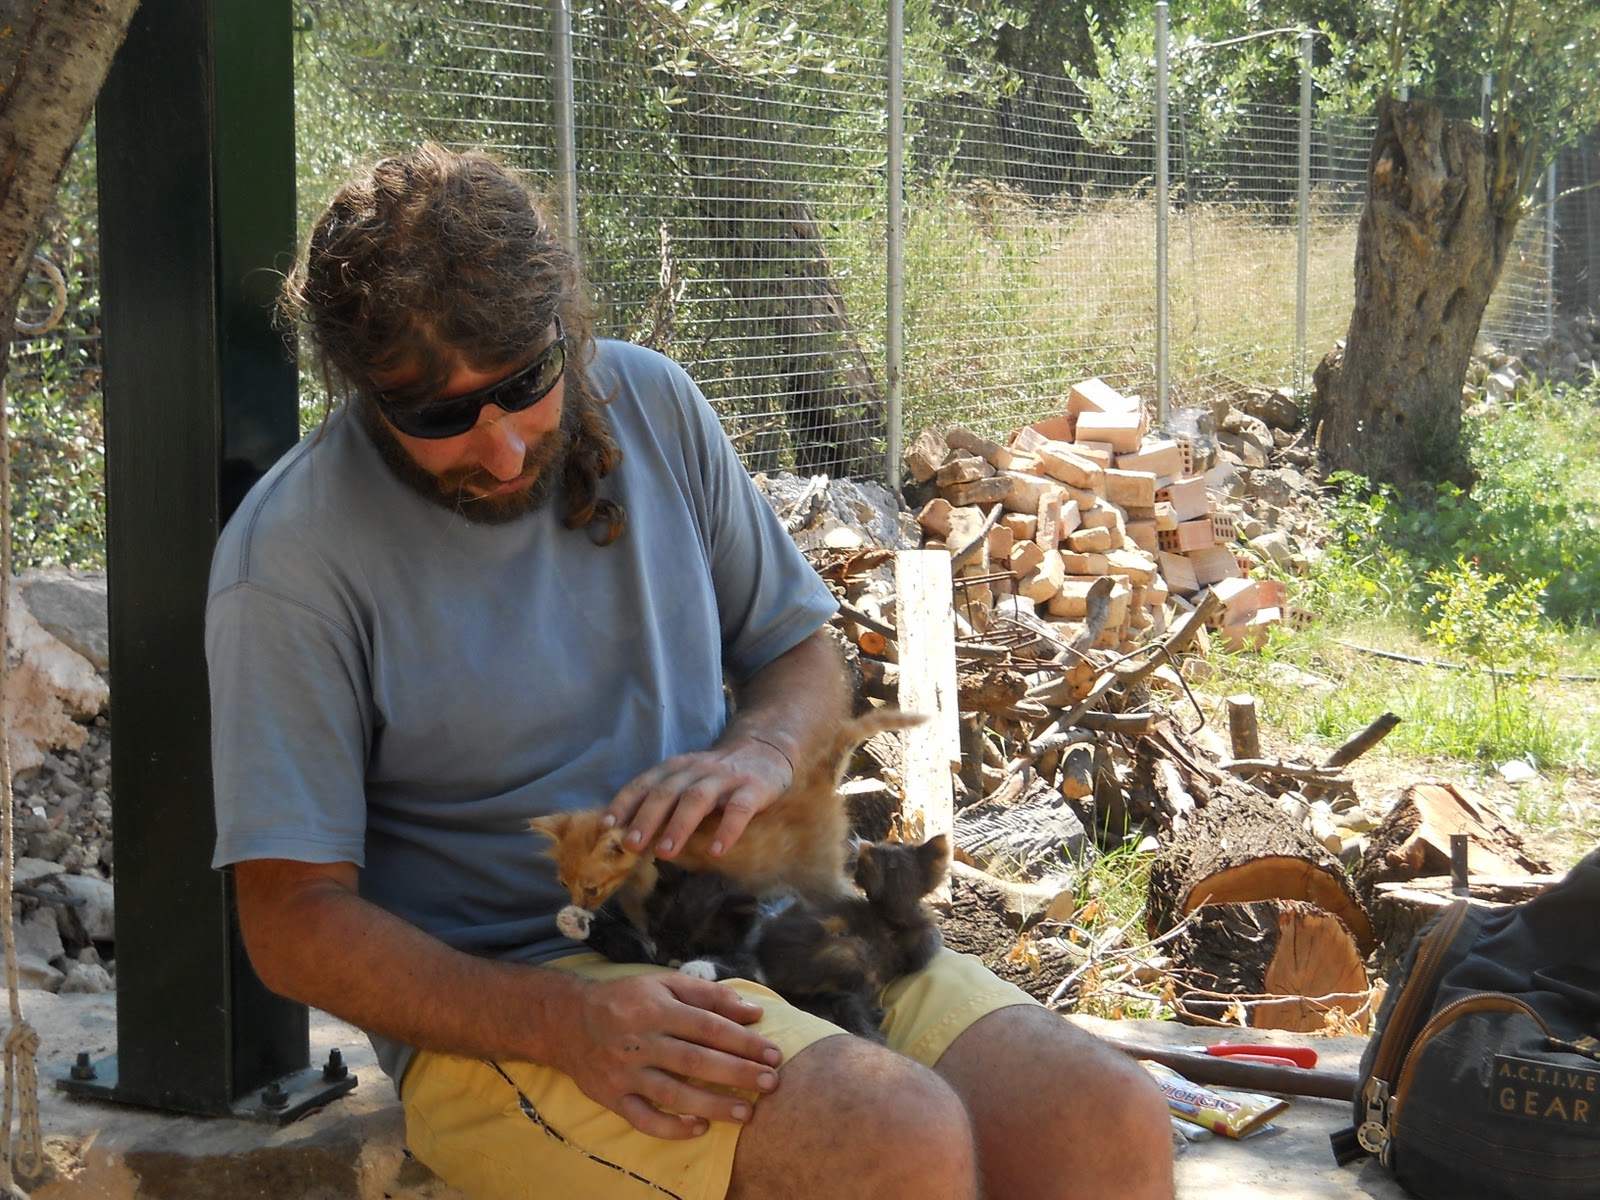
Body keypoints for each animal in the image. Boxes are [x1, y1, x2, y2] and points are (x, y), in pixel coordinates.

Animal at [528, 704, 921, 908]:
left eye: (591, 889)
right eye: (564, 885)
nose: (580, 908)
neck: (647, 839)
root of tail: (813, 785)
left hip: (818, 875)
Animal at [556, 838, 947, 1043]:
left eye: (691, 945)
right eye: (658, 930)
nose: (666, 957)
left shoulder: (759, 967)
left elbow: (735, 966)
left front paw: (697, 969)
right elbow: (628, 947)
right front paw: (577, 920)